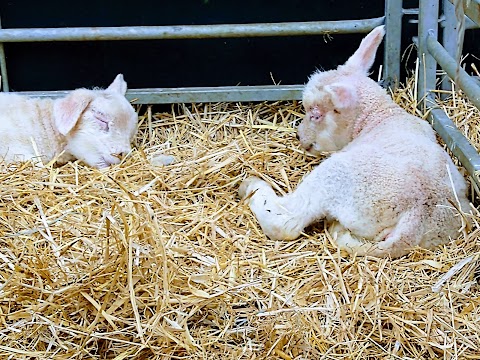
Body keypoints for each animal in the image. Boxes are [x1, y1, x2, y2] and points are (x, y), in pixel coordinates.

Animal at [238, 26, 470, 260]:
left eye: (316, 115)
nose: (299, 136)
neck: (380, 117)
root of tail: (416, 218)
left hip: (334, 176)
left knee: (285, 221)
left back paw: (252, 187)